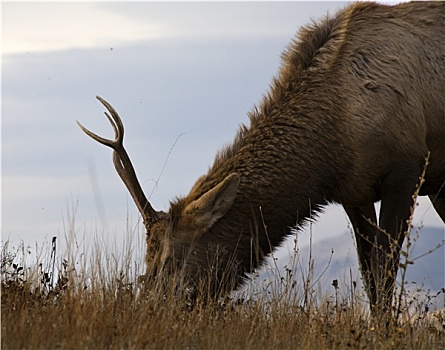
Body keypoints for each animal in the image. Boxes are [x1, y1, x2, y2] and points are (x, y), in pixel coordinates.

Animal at [78, 1, 442, 310]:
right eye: (146, 260)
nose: (149, 308)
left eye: (170, 259)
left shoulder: (405, 172)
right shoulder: (355, 192)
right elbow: (370, 278)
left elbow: (384, 271)